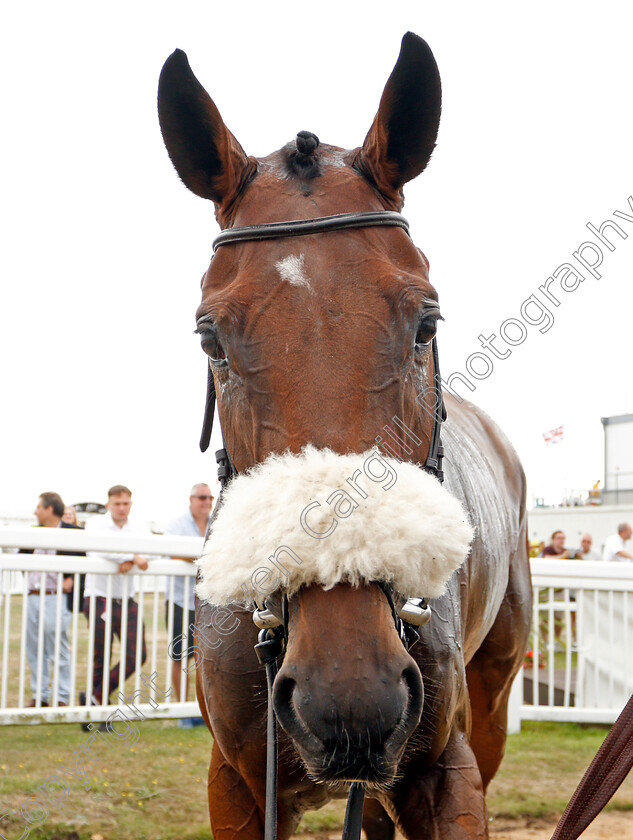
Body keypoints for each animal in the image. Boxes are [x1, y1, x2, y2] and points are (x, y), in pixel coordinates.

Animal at [157, 31, 528, 840]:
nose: (350, 694)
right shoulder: (237, 782)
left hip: (490, 699)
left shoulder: (444, 768)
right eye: (210, 337)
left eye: (426, 322)